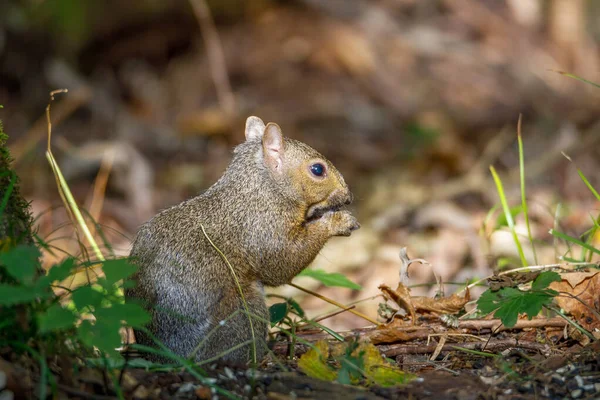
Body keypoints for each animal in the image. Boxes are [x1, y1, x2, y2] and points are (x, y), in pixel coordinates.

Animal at [124, 117, 358, 364]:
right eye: (317, 169)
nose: (348, 196)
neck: (260, 191)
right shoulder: (264, 229)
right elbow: (282, 265)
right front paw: (338, 221)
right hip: (245, 313)